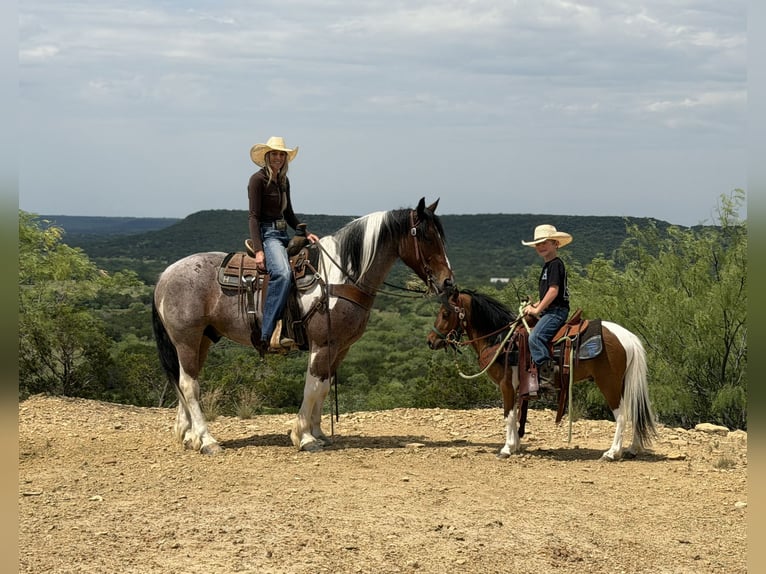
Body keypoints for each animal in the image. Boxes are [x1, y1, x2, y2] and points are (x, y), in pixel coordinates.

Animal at [153, 197, 454, 454]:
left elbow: (323, 387)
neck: (341, 277)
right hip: (187, 339)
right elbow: (313, 386)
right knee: (189, 385)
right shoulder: (322, 344)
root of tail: (165, 275)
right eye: (426, 236)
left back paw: (188, 435)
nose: (448, 282)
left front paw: (318, 433)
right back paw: (206, 440)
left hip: (201, 340)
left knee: (184, 380)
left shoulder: (339, 348)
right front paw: (305, 437)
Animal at [427, 288, 657, 461]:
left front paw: (507, 448)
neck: (501, 341)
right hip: (623, 383)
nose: (430, 340)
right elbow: (517, 415)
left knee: (622, 415)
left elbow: (508, 416)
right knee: (634, 411)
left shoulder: (506, 385)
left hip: (608, 383)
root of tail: (627, 336)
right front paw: (516, 445)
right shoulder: (518, 388)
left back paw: (612, 453)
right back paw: (632, 449)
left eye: (445, 313)